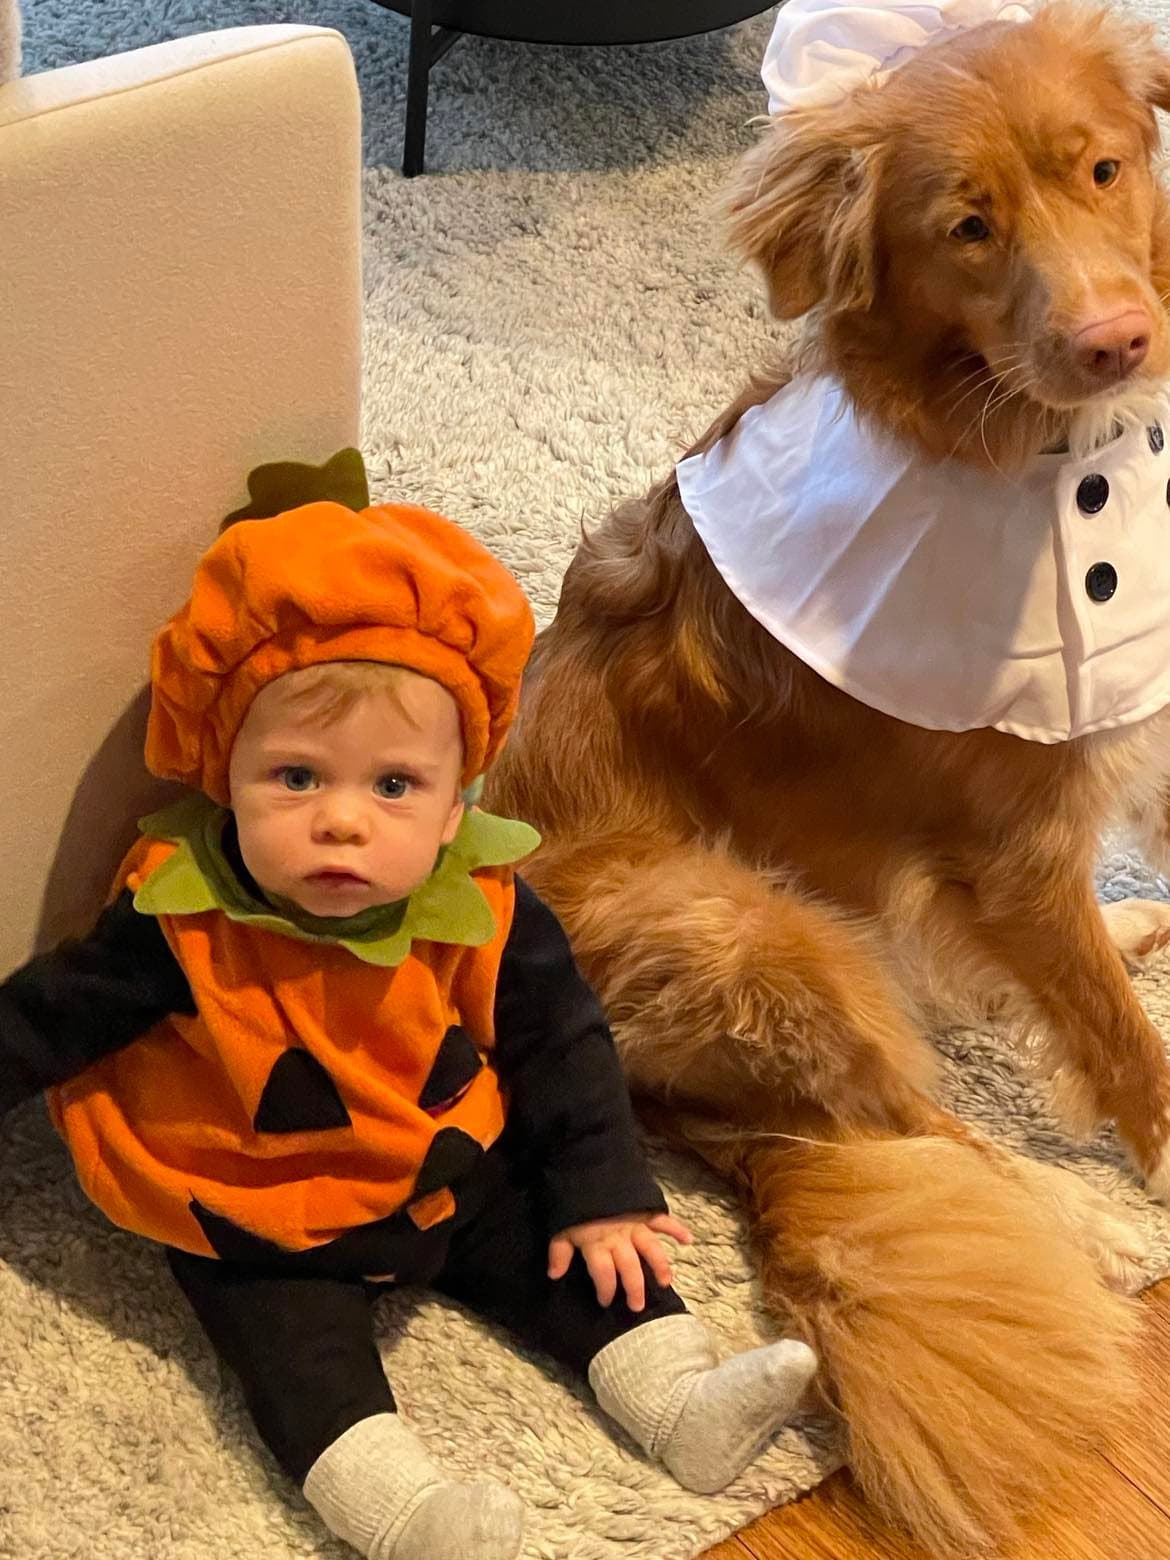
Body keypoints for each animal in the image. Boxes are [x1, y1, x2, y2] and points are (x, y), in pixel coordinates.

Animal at [486, 6, 1170, 1553]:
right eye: (967, 228)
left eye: (1103, 169)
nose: (1115, 341)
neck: (1030, 460)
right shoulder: (1012, 857)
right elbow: (1122, 1050)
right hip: (752, 924)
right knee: (913, 1119)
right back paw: (1092, 1224)